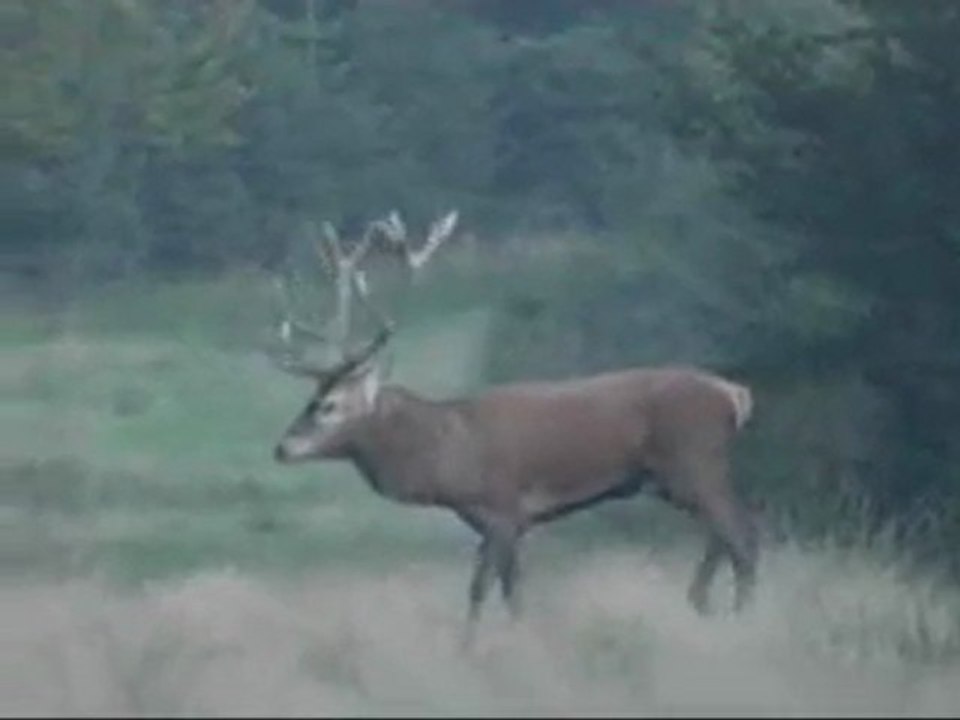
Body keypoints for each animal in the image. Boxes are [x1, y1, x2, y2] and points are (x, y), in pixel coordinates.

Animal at [269, 211, 760, 645]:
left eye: (329, 405)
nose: (282, 448)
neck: (450, 451)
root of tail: (735, 395)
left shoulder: (502, 507)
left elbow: (483, 590)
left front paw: (475, 648)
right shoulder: (505, 521)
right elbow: (511, 591)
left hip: (694, 457)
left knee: (742, 537)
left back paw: (741, 620)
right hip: (679, 477)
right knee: (724, 535)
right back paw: (702, 603)